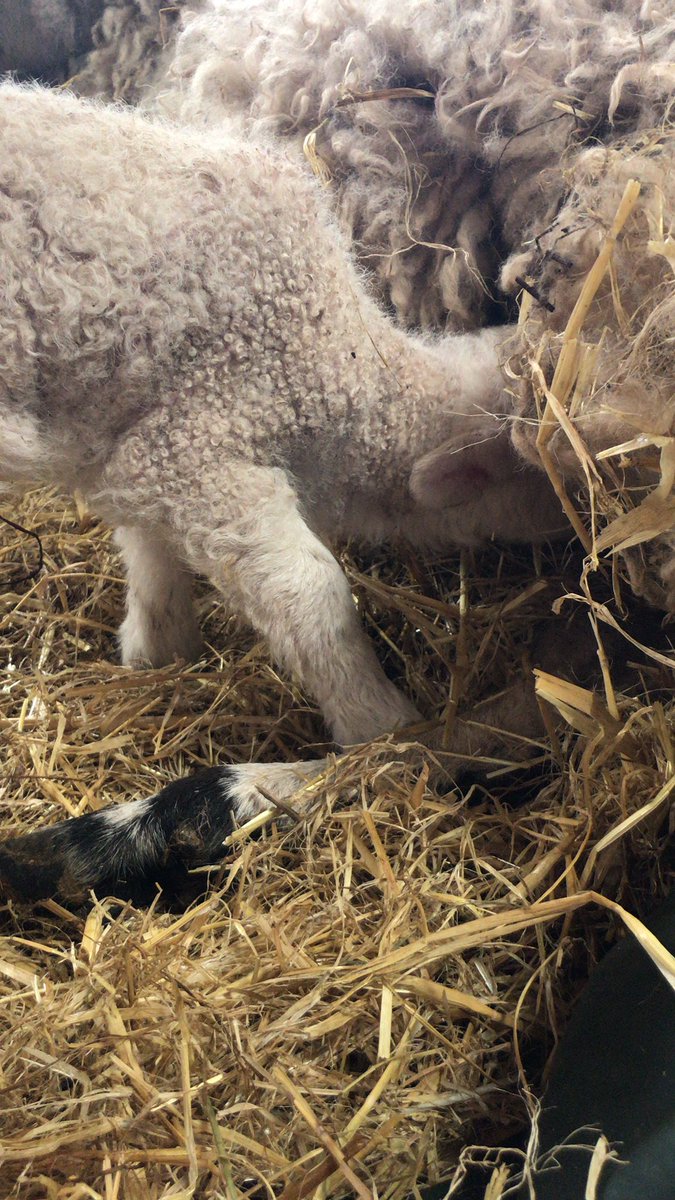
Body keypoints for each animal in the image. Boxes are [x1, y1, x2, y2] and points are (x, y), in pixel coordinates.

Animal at [0, 81, 566, 904]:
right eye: (552, 469)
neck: (347, 369)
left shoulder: (142, 441)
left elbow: (148, 551)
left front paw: (155, 653)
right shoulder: (206, 439)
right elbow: (311, 594)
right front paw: (381, 727)